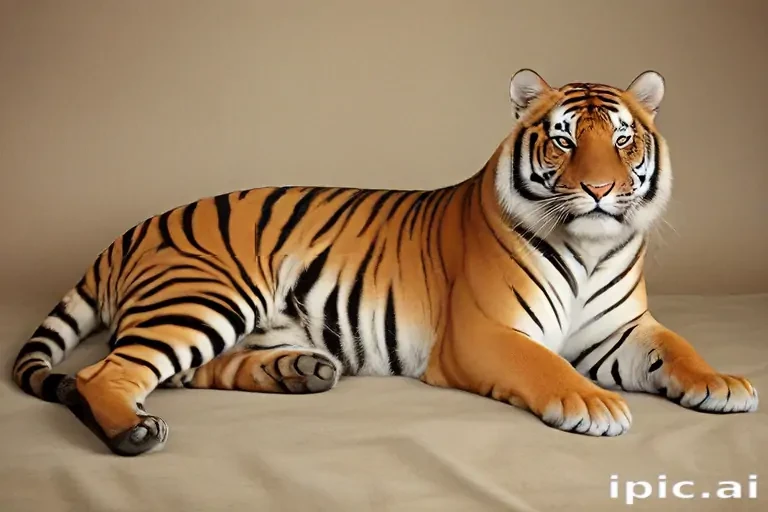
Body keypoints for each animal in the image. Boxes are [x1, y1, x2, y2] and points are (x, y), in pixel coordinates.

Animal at [12, 69, 759, 456]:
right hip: (207, 295)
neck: (590, 247)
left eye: (625, 141)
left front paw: (722, 383)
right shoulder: (483, 333)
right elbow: (543, 365)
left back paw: (301, 372)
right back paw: (133, 432)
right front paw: (591, 402)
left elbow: (679, 348)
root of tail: (130, 230)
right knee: (106, 374)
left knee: (182, 373)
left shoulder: (621, 332)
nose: (602, 188)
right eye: (565, 141)